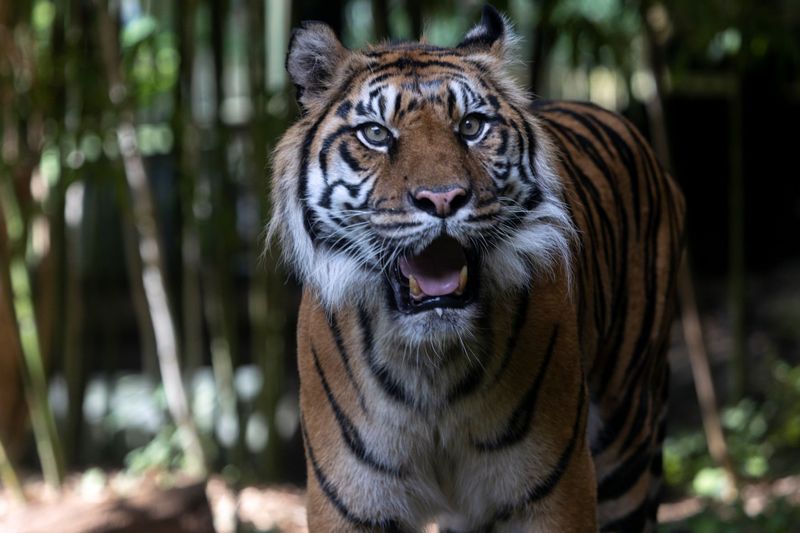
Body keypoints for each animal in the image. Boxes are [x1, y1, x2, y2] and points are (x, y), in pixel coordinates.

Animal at [268, 5, 680, 532]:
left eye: (470, 126)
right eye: (376, 134)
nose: (443, 199)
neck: (431, 369)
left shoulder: (555, 491)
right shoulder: (349, 501)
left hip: (627, 441)